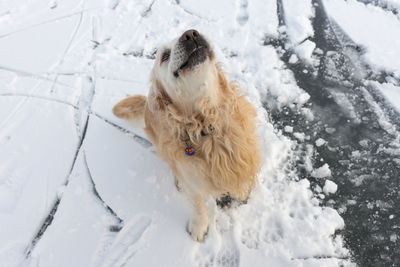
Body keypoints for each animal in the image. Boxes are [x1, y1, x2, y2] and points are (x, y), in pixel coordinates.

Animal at [112, 29, 262, 243]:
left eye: (191, 33)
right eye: (164, 56)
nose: (190, 34)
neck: (207, 125)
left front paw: (242, 194)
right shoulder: (191, 180)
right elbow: (197, 206)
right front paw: (199, 228)